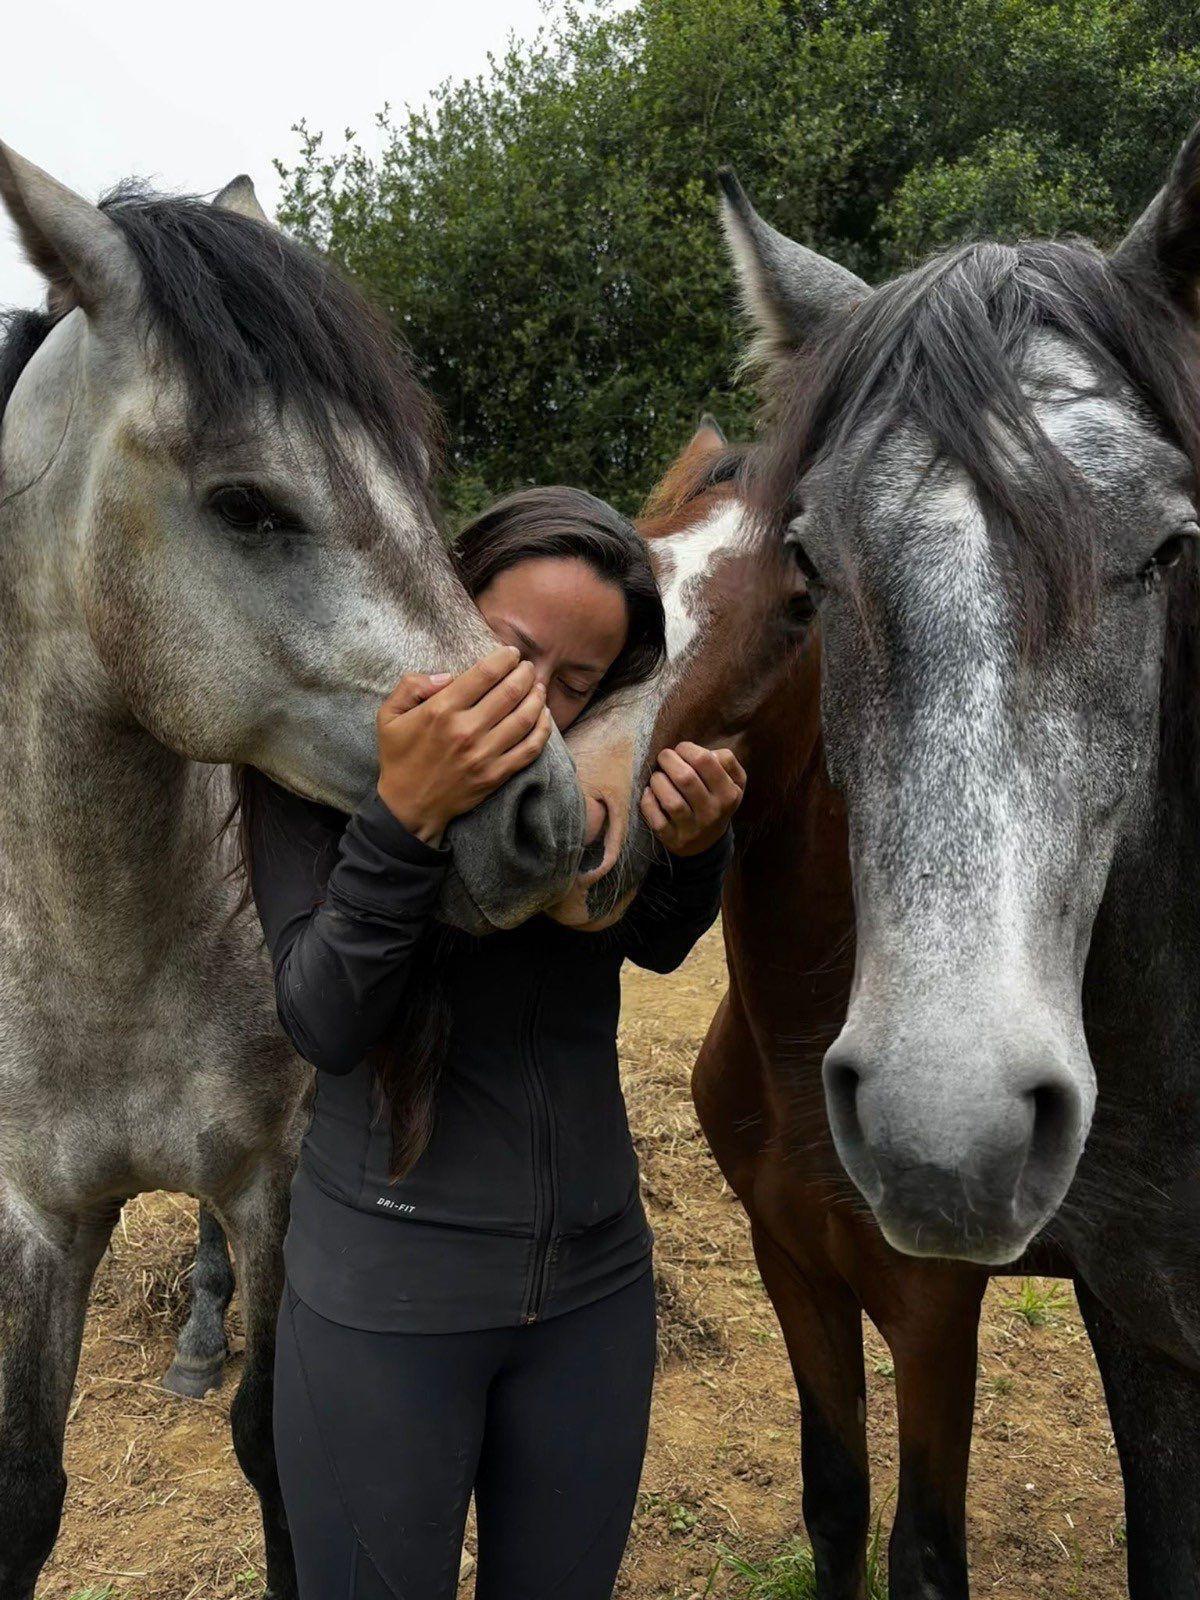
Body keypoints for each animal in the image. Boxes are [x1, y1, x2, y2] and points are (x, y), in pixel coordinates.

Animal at [0, 144, 603, 1599]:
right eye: (247, 505)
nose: (547, 810)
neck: (97, 944)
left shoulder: (275, 1182)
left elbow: (278, 1450)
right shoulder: (34, 1214)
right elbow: (26, 1490)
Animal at [666, 122, 1200, 1600]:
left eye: (1171, 546)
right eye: (814, 558)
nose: (944, 1135)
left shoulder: (932, 1309)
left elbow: (922, 1548)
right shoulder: (799, 1265)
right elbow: (836, 1498)